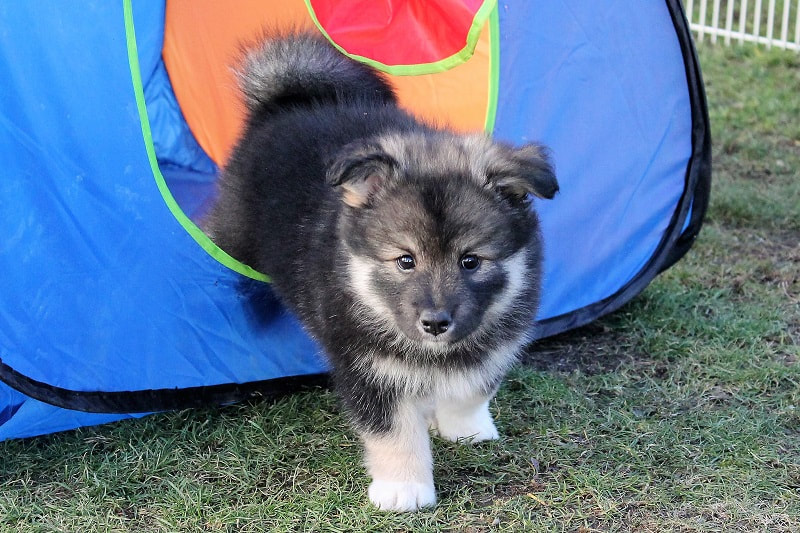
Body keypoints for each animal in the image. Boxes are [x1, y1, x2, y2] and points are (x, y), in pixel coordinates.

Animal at [203, 33, 560, 512]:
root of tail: (287, 101)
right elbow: (393, 431)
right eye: (405, 260)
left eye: (470, 261)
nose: (435, 323)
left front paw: (463, 428)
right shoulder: (369, 366)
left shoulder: (495, 339)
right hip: (234, 232)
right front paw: (404, 489)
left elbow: (472, 386)